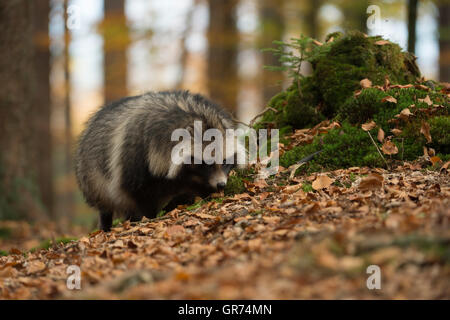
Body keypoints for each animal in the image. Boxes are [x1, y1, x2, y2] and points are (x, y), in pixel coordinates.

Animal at [75, 90, 241, 230]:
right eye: (206, 163)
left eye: (225, 162)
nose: (221, 184)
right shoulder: (135, 153)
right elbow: (137, 191)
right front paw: (146, 216)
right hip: (92, 176)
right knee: (105, 203)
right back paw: (107, 223)